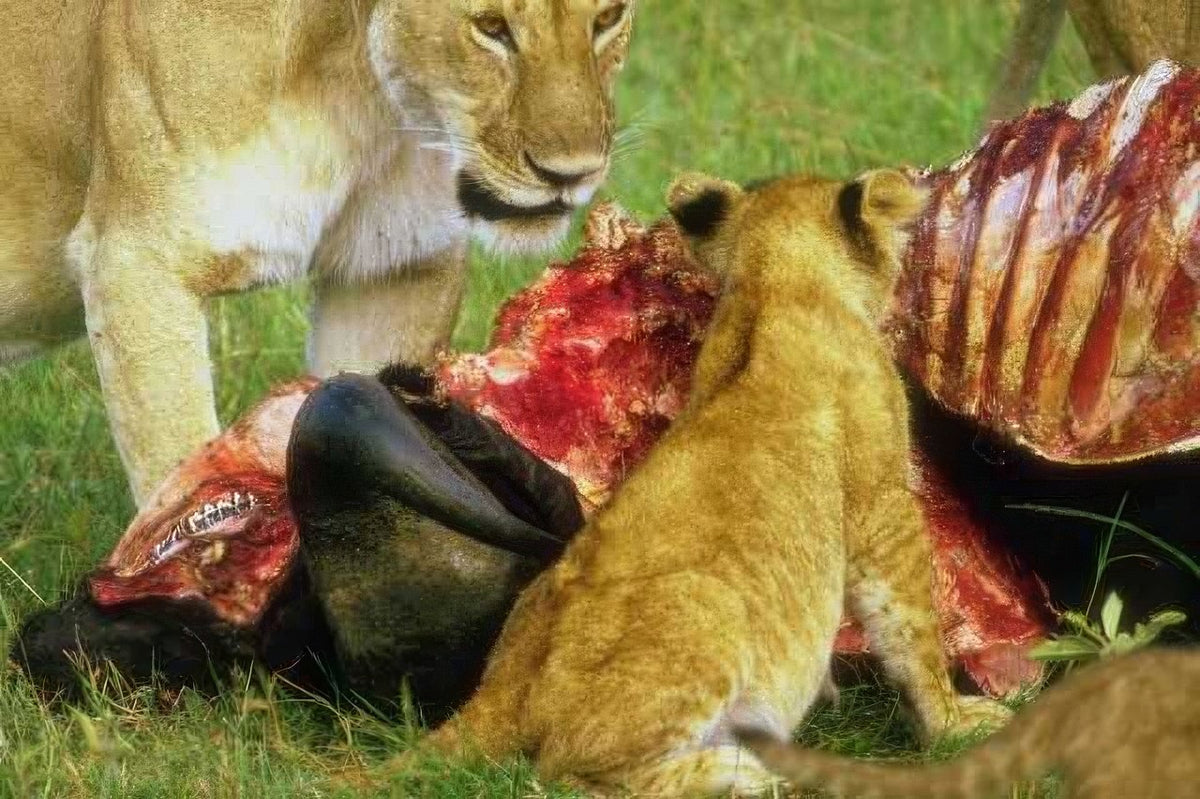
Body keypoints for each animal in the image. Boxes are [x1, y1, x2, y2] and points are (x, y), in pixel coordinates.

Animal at [0, 0, 634, 507]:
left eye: (607, 17)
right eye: (490, 26)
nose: (571, 175)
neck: (359, 88)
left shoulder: (393, 268)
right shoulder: (138, 263)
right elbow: (178, 480)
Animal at [385, 169, 1008, 796]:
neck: (775, 280)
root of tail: (494, 694)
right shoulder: (883, 504)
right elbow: (911, 630)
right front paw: (954, 722)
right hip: (707, 608)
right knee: (566, 776)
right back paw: (743, 771)